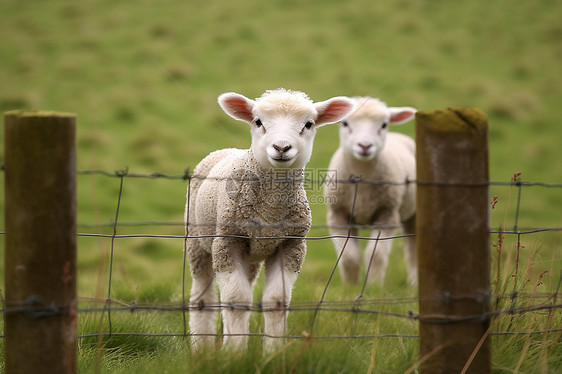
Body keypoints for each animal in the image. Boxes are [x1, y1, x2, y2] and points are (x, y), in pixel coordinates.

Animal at [184, 87, 352, 350]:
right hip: (197, 241)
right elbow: (236, 300)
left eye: (309, 124)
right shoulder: (227, 242)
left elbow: (276, 301)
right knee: (202, 296)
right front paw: (235, 352)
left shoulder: (291, 245)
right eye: (258, 121)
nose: (281, 147)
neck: (270, 212)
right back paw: (201, 346)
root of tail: (225, 150)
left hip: (250, 255)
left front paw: (273, 351)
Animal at [324, 97, 416, 286]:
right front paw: (350, 286)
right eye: (345, 123)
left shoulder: (388, 214)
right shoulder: (338, 215)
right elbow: (349, 256)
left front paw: (374, 285)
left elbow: (376, 254)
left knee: (413, 248)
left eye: (384, 125)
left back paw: (414, 282)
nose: (365, 146)